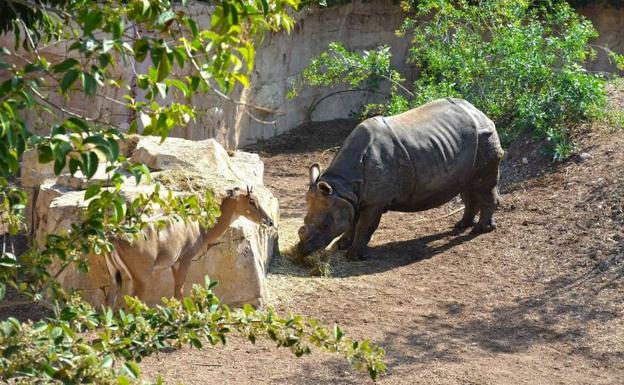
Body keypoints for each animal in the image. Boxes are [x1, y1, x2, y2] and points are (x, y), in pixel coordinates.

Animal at [105, 186, 272, 306]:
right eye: (251, 200)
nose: (268, 221)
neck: (201, 227)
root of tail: (113, 238)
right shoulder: (185, 259)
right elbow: (179, 291)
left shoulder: (174, 263)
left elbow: (176, 290)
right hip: (141, 276)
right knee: (134, 301)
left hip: (114, 275)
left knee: (110, 299)